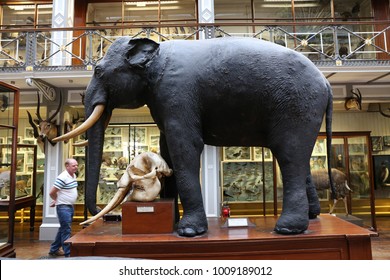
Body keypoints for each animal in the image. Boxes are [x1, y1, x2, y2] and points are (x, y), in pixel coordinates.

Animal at [54, 35, 334, 236]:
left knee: (289, 155)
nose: (110, 216)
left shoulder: (177, 93)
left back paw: (288, 229)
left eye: (98, 71)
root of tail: (326, 82)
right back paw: (313, 217)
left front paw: (188, 231)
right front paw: (171, 218)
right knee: (300, 159)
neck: (156, 54)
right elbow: (166, 148)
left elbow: (184, 146)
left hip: (297, 106)